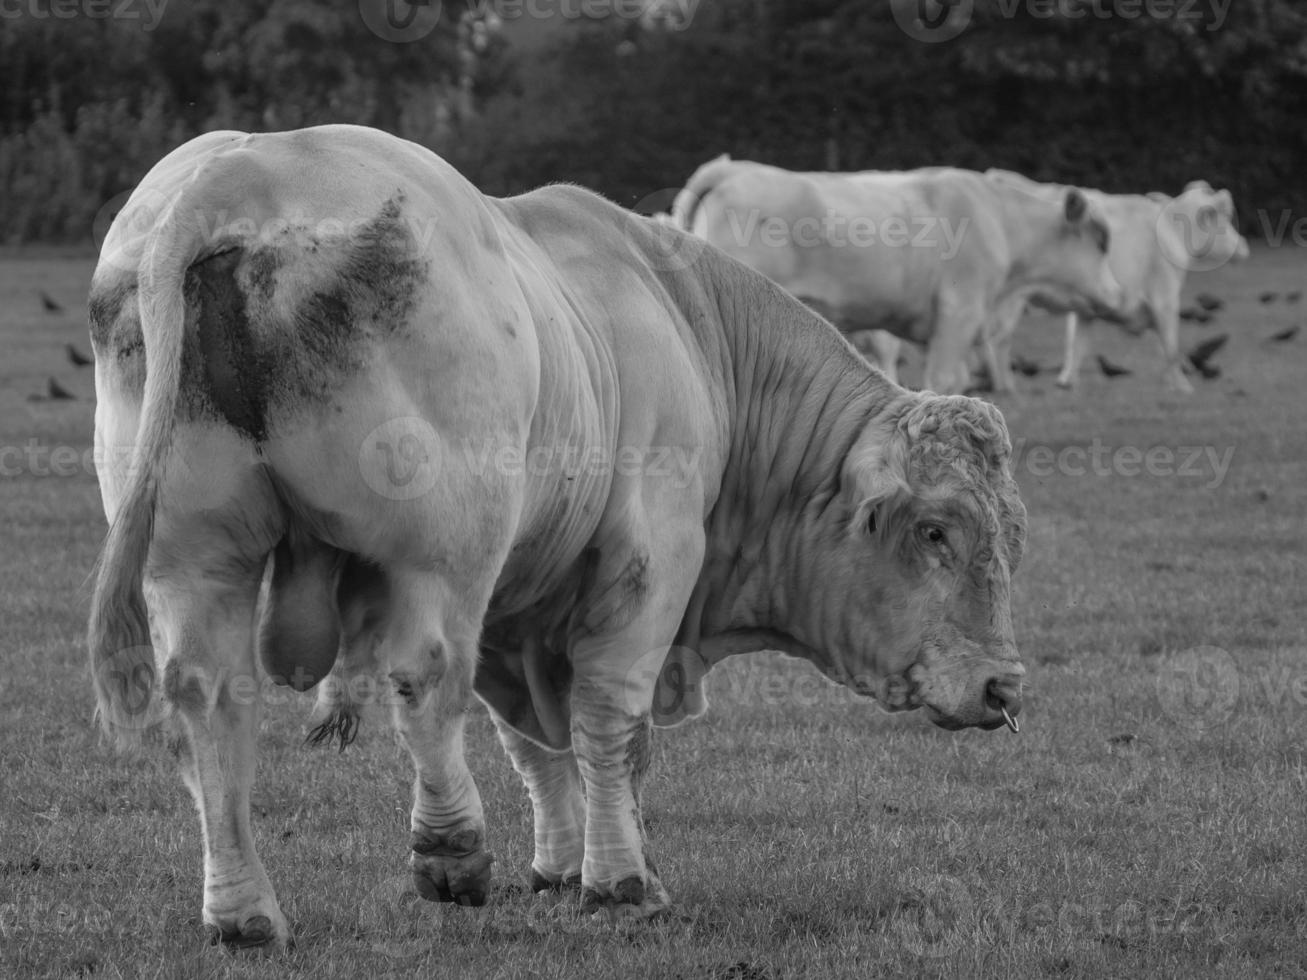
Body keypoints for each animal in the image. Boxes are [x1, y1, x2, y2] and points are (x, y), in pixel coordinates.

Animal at [89, 124, 1029, 951]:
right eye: (936, 530)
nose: (1003, 687)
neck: (692, 332)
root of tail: (243, 169)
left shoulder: (522, 598)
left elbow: (534, 741)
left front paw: (561, 867)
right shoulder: (650, 562)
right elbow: (612, 724)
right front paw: (619, 881)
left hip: (196, 557)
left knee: (209, 702)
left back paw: (244, 914)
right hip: (441, 552)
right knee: (423, 678)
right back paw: (450, 851)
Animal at [982, 172, 1249, 391]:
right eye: (1226, 219)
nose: (1245, 247)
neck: (1171, 230)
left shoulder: (1086, 309)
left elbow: (1077, 345)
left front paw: (1067, 383)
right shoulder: (1165, 297)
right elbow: (1170, 346)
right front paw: (1182, 387)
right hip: (1011, 299)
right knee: (997, 339)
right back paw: (1004, 386)